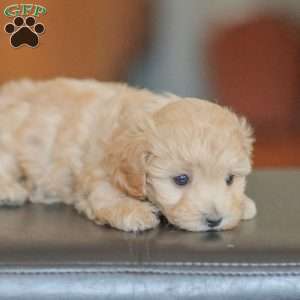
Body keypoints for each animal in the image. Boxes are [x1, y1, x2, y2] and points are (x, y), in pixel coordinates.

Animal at [0, 78, 256, 232]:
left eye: (230, 179)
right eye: (181, 180)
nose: (214, 220)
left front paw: (243, 203)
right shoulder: (98, 176)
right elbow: (107, 196)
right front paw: (134, 212)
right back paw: (9, 191)